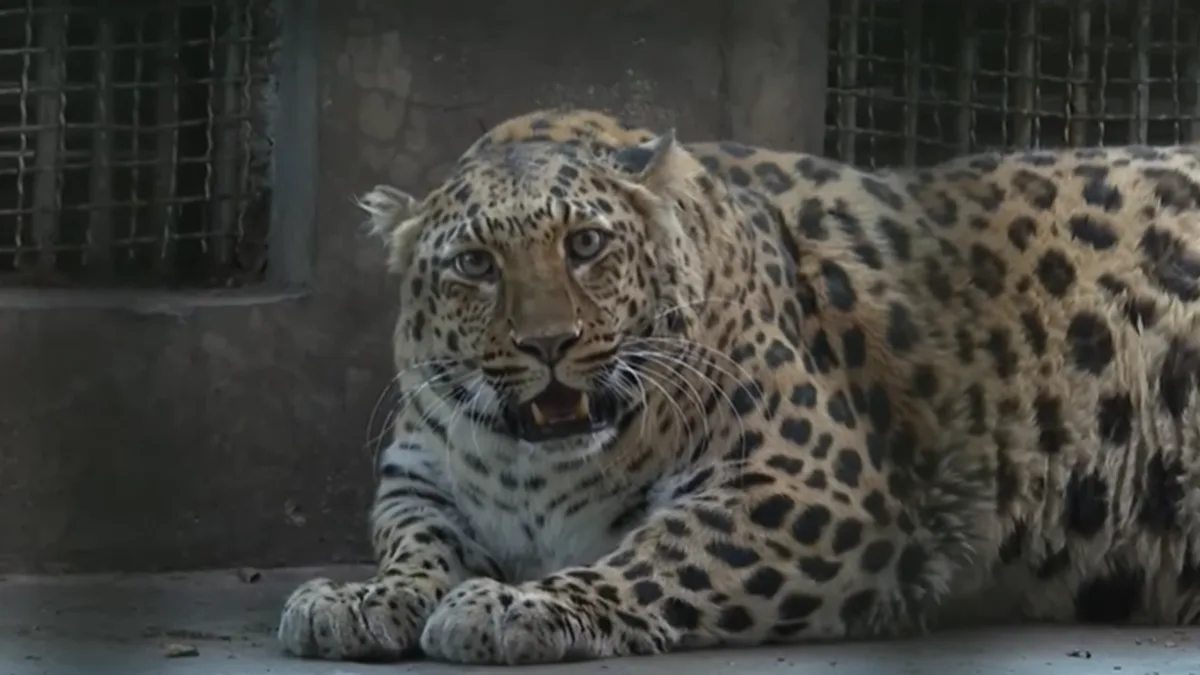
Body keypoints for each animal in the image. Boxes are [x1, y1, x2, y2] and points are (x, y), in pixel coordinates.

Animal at [277, 107, 1200, 665]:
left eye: (585, 244)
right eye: (475, 263)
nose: (548, 344)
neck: (536, 469)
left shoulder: (811, 487)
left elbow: (659, 554)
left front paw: (514, 606)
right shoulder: (419, 482)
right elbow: (415, 542)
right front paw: (362, 598)